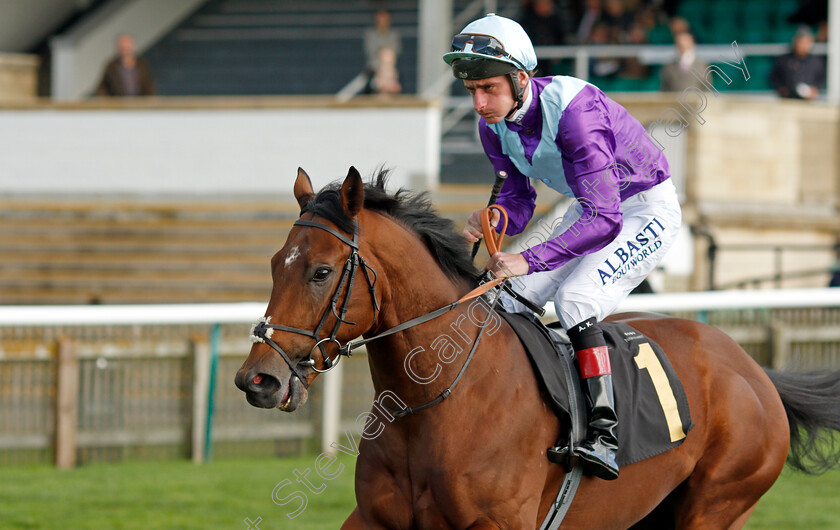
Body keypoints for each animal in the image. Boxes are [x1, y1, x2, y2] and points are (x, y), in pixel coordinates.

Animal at [235, 167, 840, 524]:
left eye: (320, 271)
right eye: (275, 264)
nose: (257, 379)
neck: (435, 404)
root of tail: (754, 370)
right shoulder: (374, 518)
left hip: (718, 503)